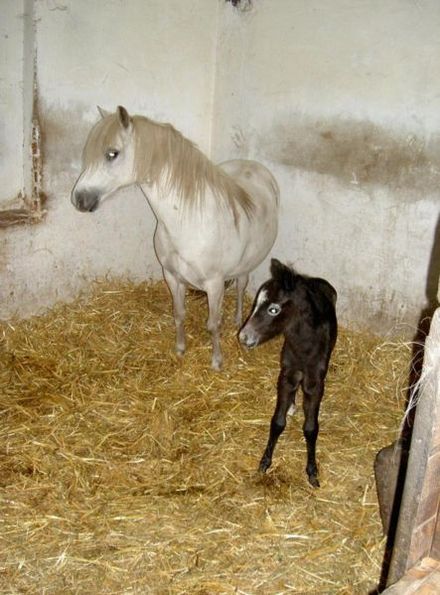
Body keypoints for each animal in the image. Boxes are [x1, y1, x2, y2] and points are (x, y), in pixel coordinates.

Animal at [72, 106, 278, 368]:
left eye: (112, 154)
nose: (79, 198)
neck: (188, 223)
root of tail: (255, 166)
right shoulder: (172, 276)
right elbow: (179, 314)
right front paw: (180, 349)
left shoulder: (214, 284)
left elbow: (213, 324)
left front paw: (216, 362)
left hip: (245, 265)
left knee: (241, 288)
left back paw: (238, 319)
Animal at [237, 258, 336, 486]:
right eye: (255, 304)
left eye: (274, 309)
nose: (244, 337)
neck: (303, 348)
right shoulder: (287, 375)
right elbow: (277, 422)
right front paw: (264, 463)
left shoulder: (314, 383)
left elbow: (311, 428)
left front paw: (312, 472)